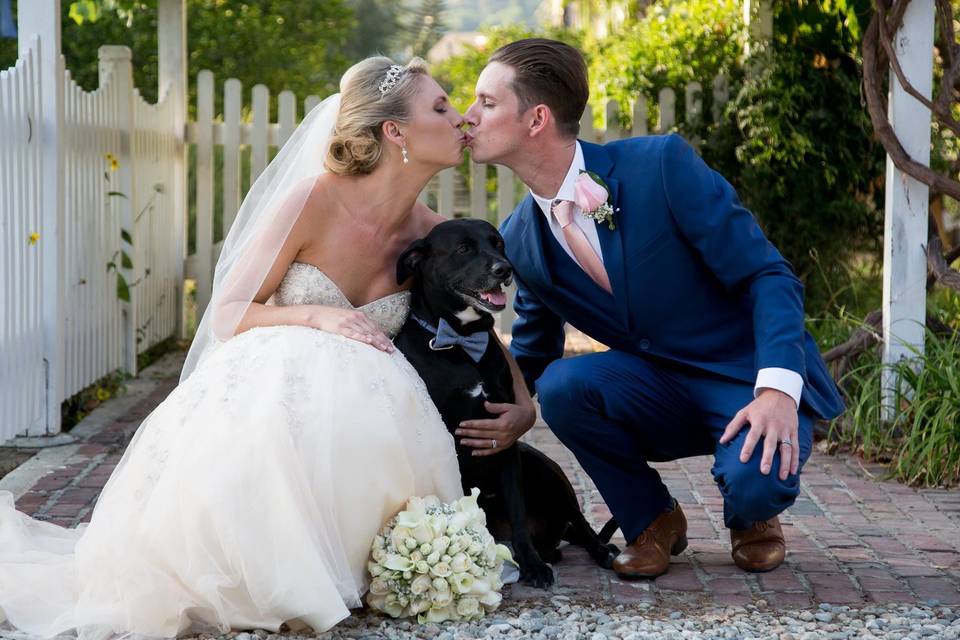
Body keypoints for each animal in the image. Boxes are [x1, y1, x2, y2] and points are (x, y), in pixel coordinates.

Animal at [394, 218, 620, 588]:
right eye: (464, 248)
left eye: (498, 243)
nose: (505, 269)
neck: (461, 342)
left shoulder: (506, 441)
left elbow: (516, 509)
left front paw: (531, 565)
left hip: (543, 467)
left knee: (580, 523)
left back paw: (598, 552)